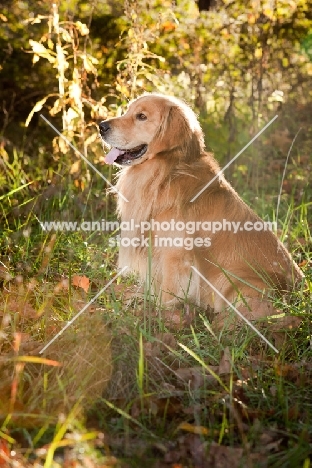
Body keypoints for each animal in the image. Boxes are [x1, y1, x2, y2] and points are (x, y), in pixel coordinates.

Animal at [99, 94, 302, 326]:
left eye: (141, 116)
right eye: (127, 111)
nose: (101, 126)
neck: (166, 173)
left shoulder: (175, 255)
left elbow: (166, 296)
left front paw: (159, 319)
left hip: (232, 280)